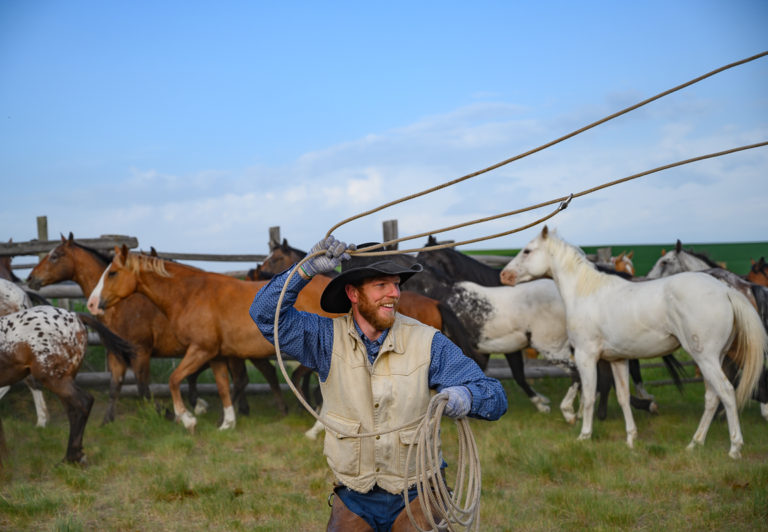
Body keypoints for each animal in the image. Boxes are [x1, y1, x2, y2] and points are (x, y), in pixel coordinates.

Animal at [0, 305, 135, 464]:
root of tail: (75, 316)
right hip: (64, 378)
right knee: (73, 411)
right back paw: (74, 456)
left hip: (54, 378)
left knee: (84, 402)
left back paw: (72, 457)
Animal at [26, 234, 266, 423]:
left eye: (55, 255)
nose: (30, 278)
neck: (122, 306)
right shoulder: (116, 354)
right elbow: (115, 387)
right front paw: (107, 421)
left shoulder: (141, 352)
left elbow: (143, 389)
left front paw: (168, 413)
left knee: (238, 380)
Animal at [501, 226, 766, 458]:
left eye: (527, 250)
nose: (504, 275)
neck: (586, 293)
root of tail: (726, 290)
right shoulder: (618, 359)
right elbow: (622, 397)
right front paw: (631, 439)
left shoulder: (586, 357)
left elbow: (588, 396)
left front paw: (584, 435)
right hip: (713, 358)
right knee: (712, 398)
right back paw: (694, 443)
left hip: (707, 358)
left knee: (727, 393)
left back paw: (734, 448)